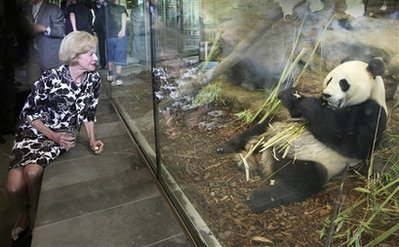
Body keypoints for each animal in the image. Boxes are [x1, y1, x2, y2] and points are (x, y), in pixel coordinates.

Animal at [217, 58, 390, 212]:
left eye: (343, 83)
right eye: (329, 80)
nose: (326, 95)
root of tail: (263, 159)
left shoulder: (373, 114)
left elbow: (352, 144)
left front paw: (308, 103)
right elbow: (297, 114)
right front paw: (290, 94)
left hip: (303, 162)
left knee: (304, 180)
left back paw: (258, 199)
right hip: (273, 129)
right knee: (259, 127)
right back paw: (225, 147)